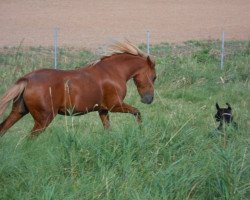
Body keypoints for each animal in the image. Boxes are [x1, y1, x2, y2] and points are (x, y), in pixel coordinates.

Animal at [0, 40, 156, 138]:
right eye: (154, 77)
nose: (148, 99)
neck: (113, 71)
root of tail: (27, 79)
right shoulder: (115, 105)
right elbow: (137, 112)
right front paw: (141, 130)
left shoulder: (103, 110)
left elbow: (108, 128)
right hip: (43, 119)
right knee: (29, 139)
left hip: (19, 112)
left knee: (3, 128)